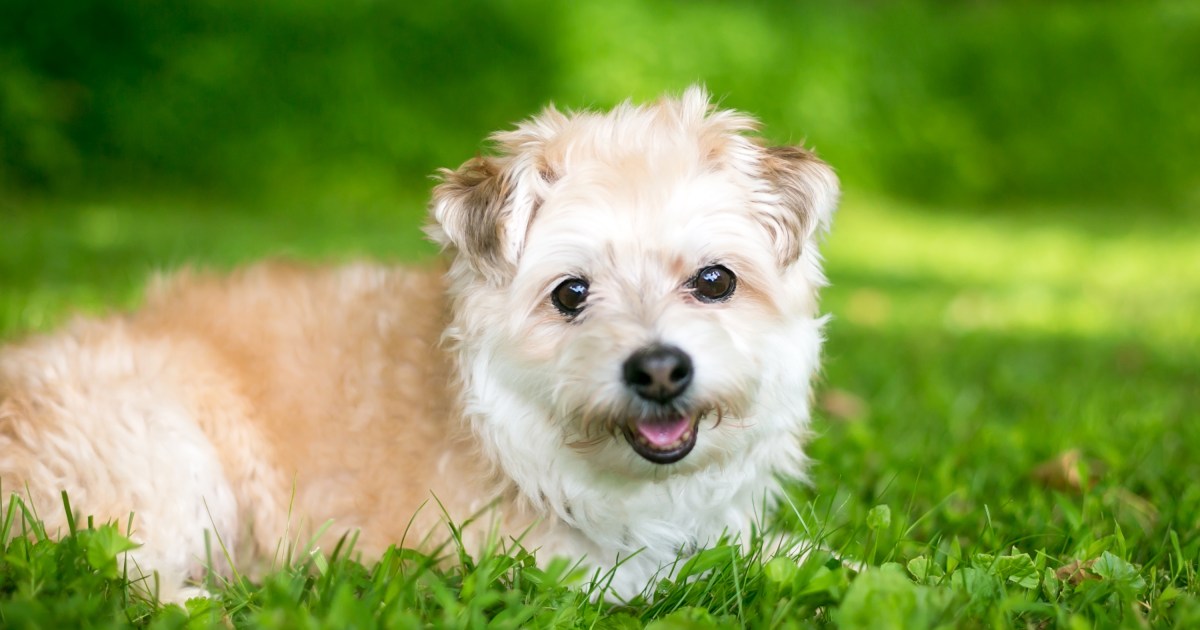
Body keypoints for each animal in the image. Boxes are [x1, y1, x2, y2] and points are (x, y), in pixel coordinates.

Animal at [0, 85, 835, 602]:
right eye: (571, 294)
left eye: (715, 281)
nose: (659, 370)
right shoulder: (521, 563)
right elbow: (653, 578)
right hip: (164, 453)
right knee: (128, 575)